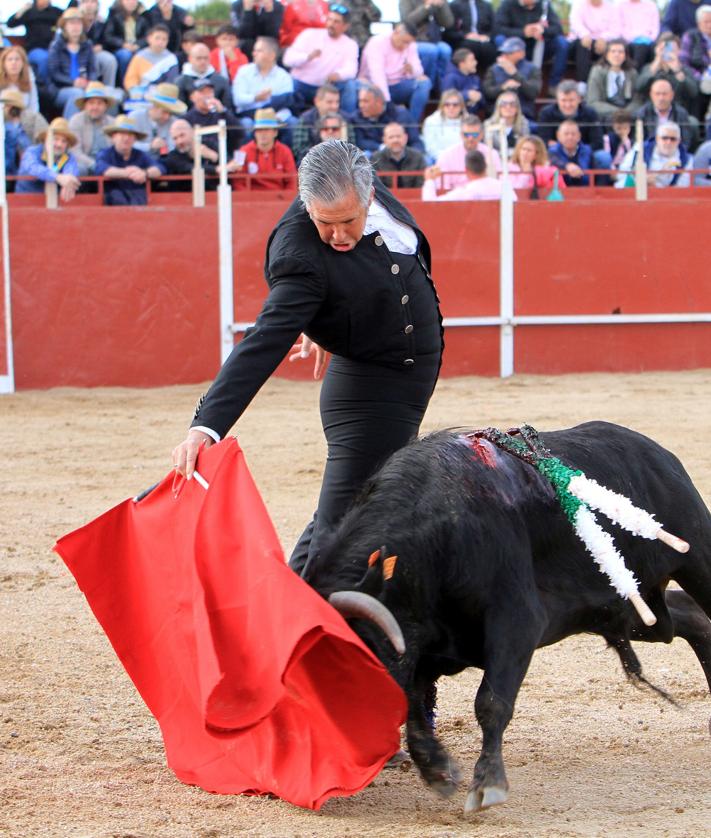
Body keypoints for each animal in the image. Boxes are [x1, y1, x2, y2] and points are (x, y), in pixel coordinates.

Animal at [304, 424, 711, 816]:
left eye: (353, 665)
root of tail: (659, 453)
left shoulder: (516, 622)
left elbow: (490, 702)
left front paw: (487, 784)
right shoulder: (424, 645)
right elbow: (415, 704)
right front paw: (438, 770)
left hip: (695, 559)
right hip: (628, 611)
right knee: (688, 619)